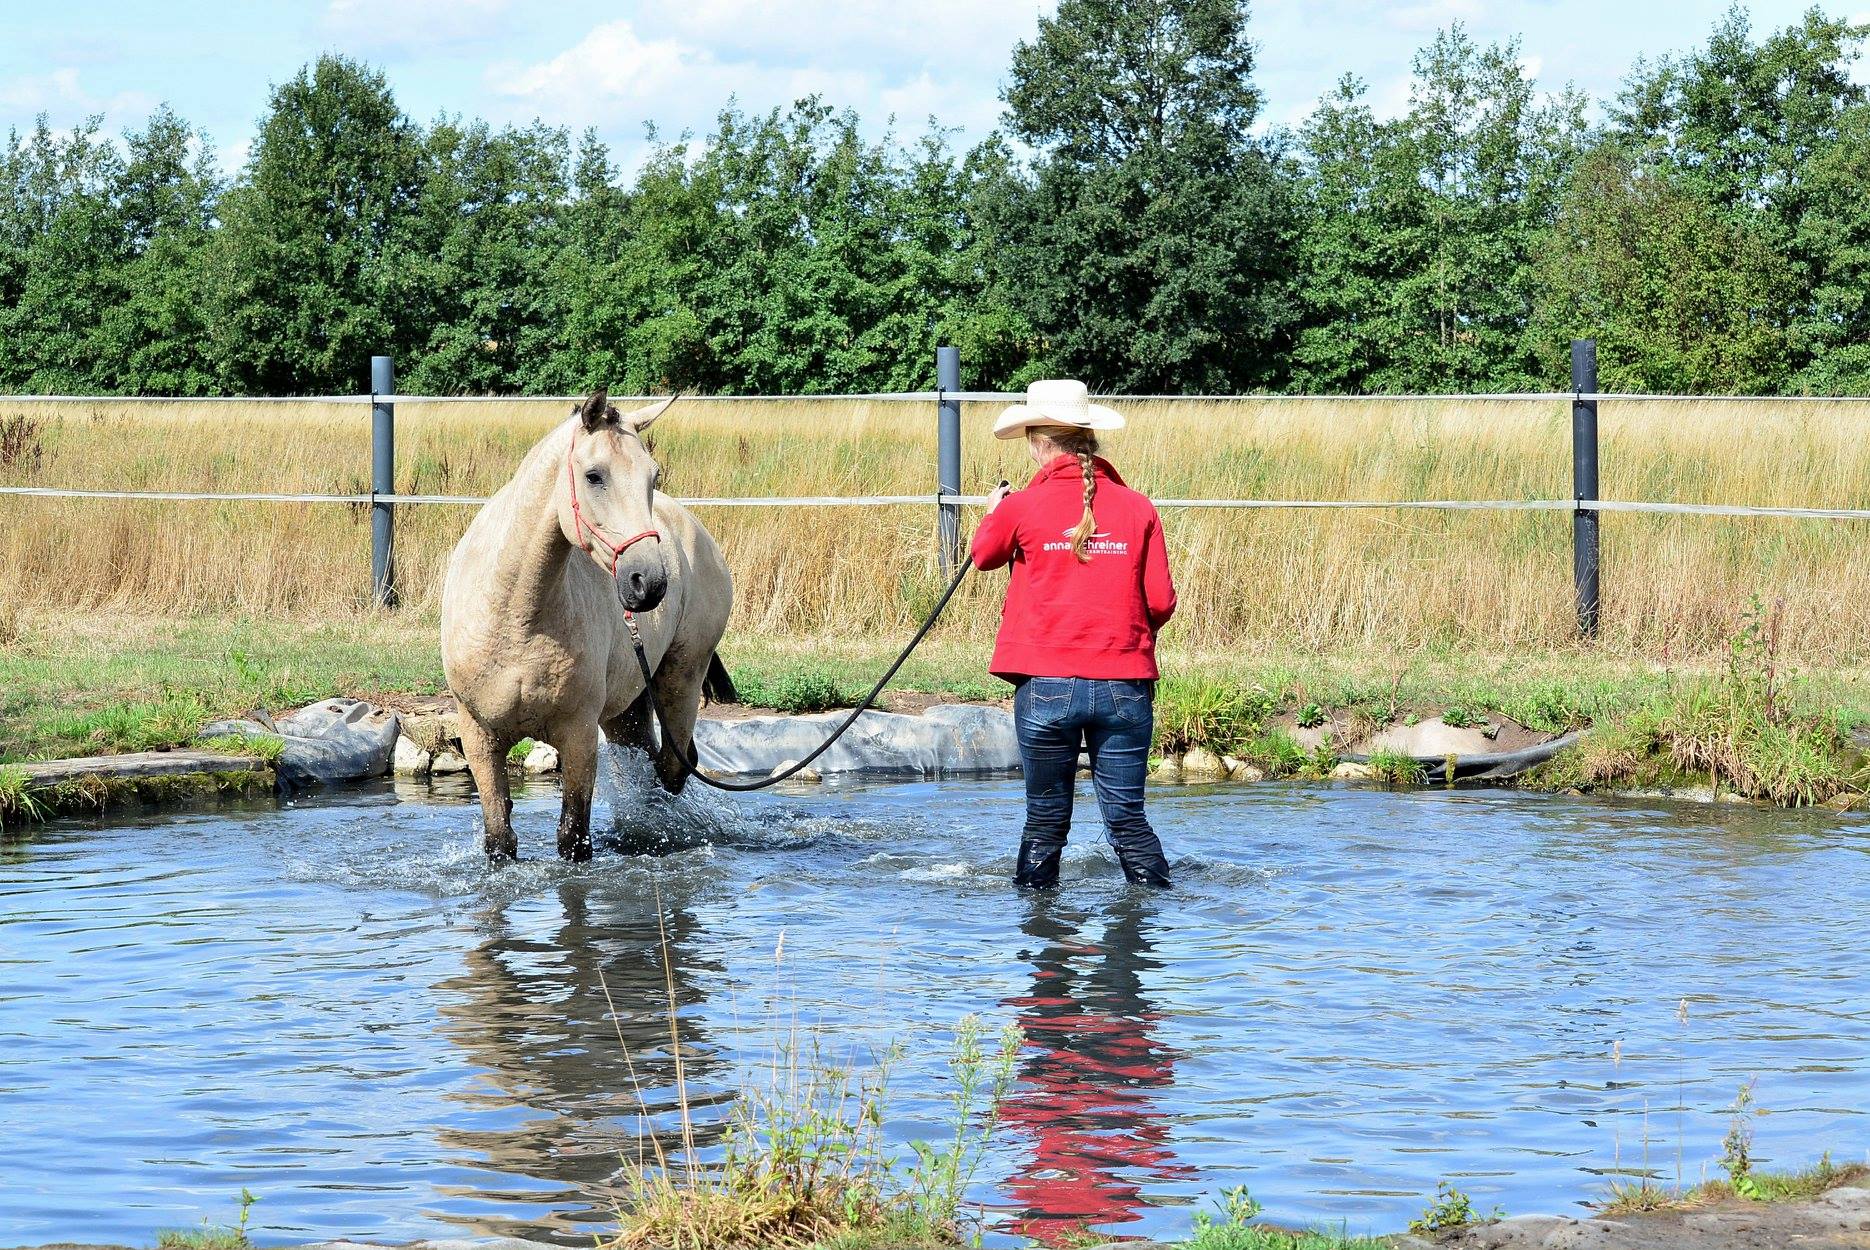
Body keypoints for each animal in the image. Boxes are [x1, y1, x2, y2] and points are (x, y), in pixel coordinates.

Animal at [437, 391, 729, 860]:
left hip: (680, 680)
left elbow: (573, 837)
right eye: (594, 476)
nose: (649, 582)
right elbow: (500, 839)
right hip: (628, 710)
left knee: (671, 768)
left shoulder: (578, 738)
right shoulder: (479, 738)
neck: (516, 617)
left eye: (653, 476)